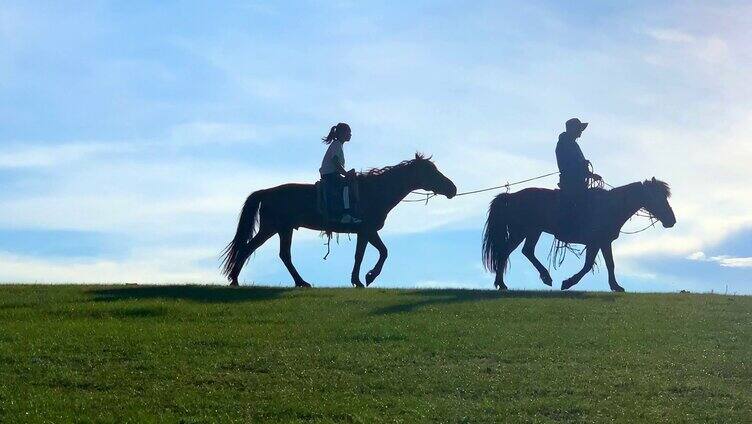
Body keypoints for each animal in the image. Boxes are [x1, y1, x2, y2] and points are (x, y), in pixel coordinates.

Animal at [222, 153, 458, 288]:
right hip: (272, 228)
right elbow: (378, 253)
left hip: (284, 229)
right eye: (432, 171)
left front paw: (359, 279)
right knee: (248, 249)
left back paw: (301, 282)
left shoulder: (365, 232)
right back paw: (235, 280)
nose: (452, 189)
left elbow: (367, 254)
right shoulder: (367, 230)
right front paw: (367, 278)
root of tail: (266, 192)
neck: (376, 191)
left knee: (283, 255)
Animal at [484, 178, 680, 292]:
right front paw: (568, 282)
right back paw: (505, 284)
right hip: (522, 232)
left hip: (532, 232)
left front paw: (615, 286)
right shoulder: (597, 242)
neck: (611, 205)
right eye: (657, 196)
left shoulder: (603, 242)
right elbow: (589, 266)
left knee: (525, 252)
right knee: (506, 252)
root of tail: (511, 197)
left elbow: (609, 264)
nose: (671, 221)